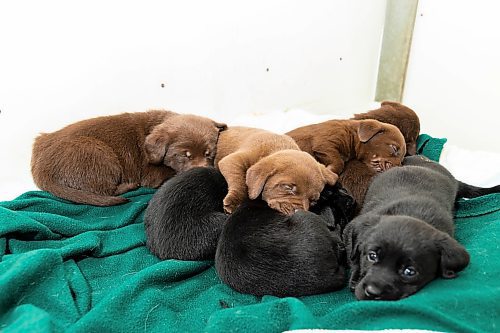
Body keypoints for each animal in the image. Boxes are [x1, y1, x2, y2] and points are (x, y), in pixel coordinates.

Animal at [31, 110, 227, 206]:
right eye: (184, 155)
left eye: (209, 153)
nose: (202, 171)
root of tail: (40, 169)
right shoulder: (151, 173)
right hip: (98, 152)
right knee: (105, 190)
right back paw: (129, 185)